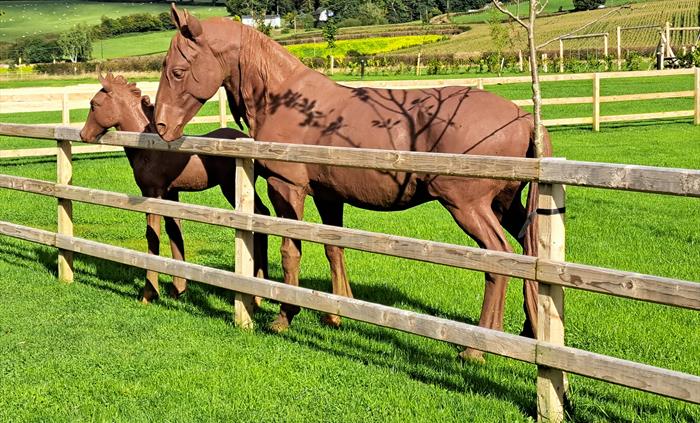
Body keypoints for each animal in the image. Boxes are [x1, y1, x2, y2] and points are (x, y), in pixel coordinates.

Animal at [80, 72, 270, 304]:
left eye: (94, 104)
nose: (83, 134)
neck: (149, 146)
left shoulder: (152, 193)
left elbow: (153, 235)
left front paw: (149, 293)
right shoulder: (171, 193)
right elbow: (175, 232)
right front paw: (178, 289)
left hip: (230, 189)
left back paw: (257, 294)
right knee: (264, 215)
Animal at [153, 5, 552, 361]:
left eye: (177, 71)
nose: (161, 126)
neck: (285, 100)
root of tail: (522, 117)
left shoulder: (286, 188)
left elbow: (290, 249)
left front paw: (285, 315)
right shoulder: (329, 197)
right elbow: (334, 248)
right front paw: (335, 314)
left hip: (469, 207)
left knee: (498, 256)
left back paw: (476, 347)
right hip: (504, 205)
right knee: (529, 250)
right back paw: (527, 331)